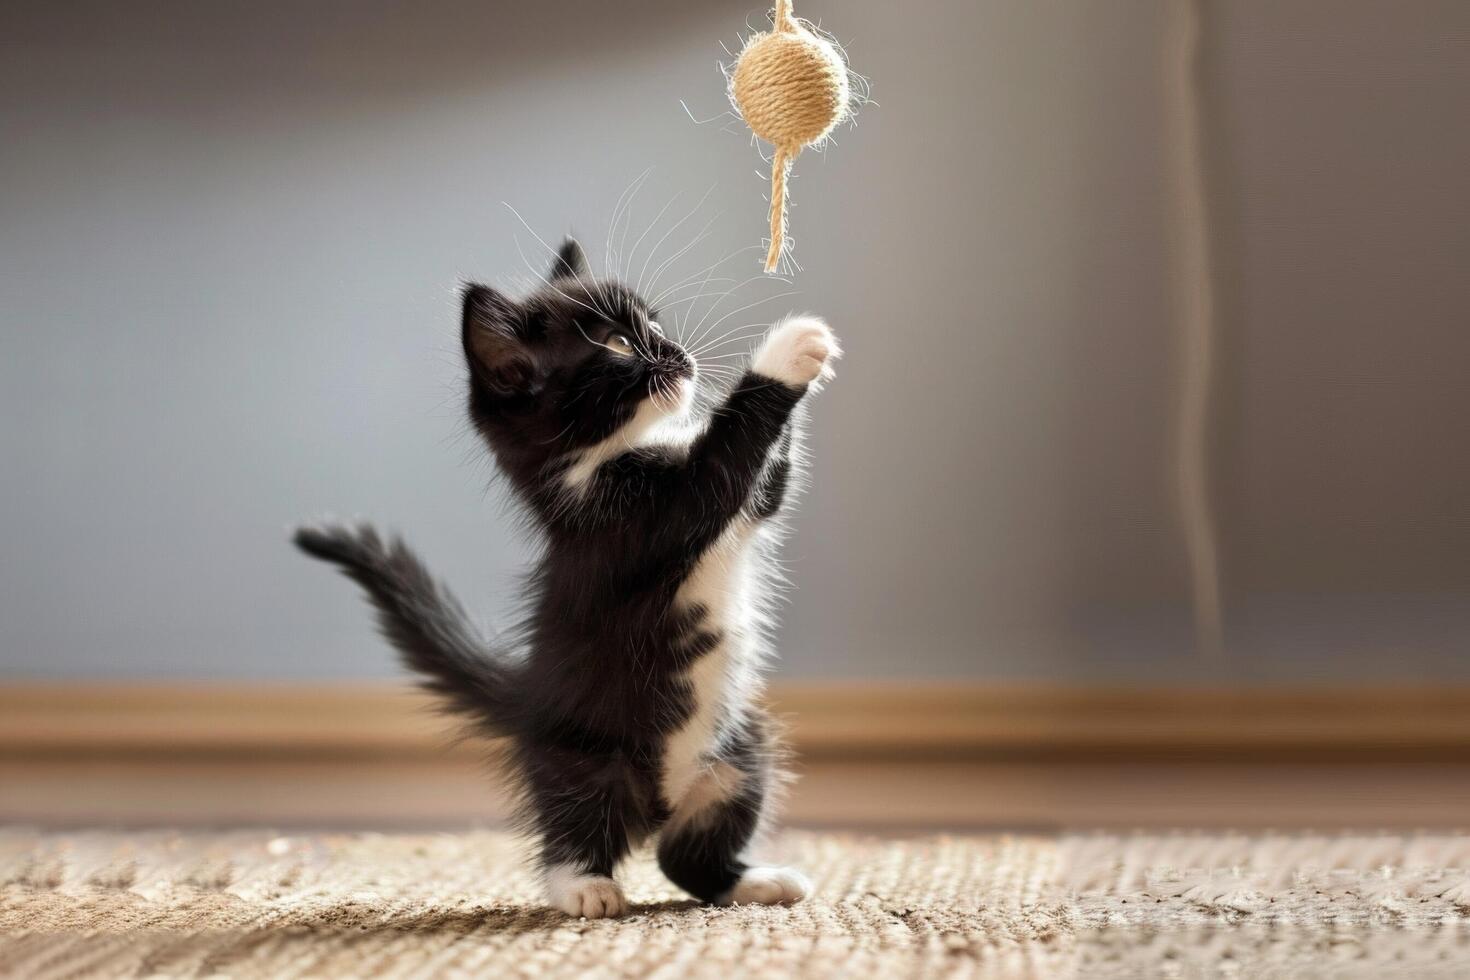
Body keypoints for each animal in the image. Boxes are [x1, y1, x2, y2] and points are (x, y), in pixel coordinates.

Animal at [295, 239, 840, 922]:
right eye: (618, 344)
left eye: (654, 324)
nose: (678, 353)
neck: (604, 461)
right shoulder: (636, 520)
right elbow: (726, 455)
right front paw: (790, 347)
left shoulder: (734, 509)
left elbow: (769, 488)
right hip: (580, 759)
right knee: (574, 823)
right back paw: (583, 884)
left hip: (741, 749)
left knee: (684, 854)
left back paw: (749, 882)